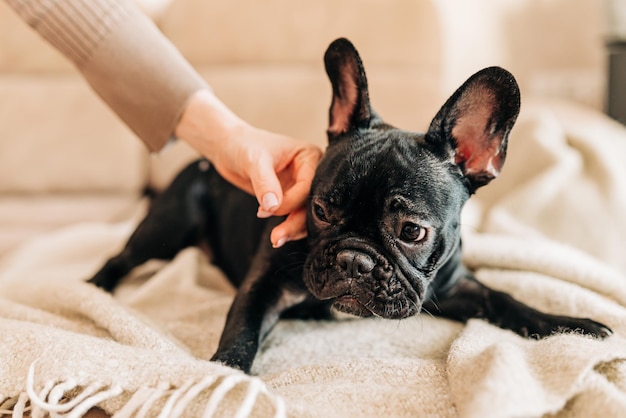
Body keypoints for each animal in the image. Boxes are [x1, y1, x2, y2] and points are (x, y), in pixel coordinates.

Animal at [89, 38, 608, 372]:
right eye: (319, 211)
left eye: (413, 231)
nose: (355, 260)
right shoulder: (265, 283)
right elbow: (242, 328)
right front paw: (224, 374)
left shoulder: (456, 285)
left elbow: (505, 299)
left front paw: (572, 328)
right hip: (168, 225)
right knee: (122, 256)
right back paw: (95, 289)